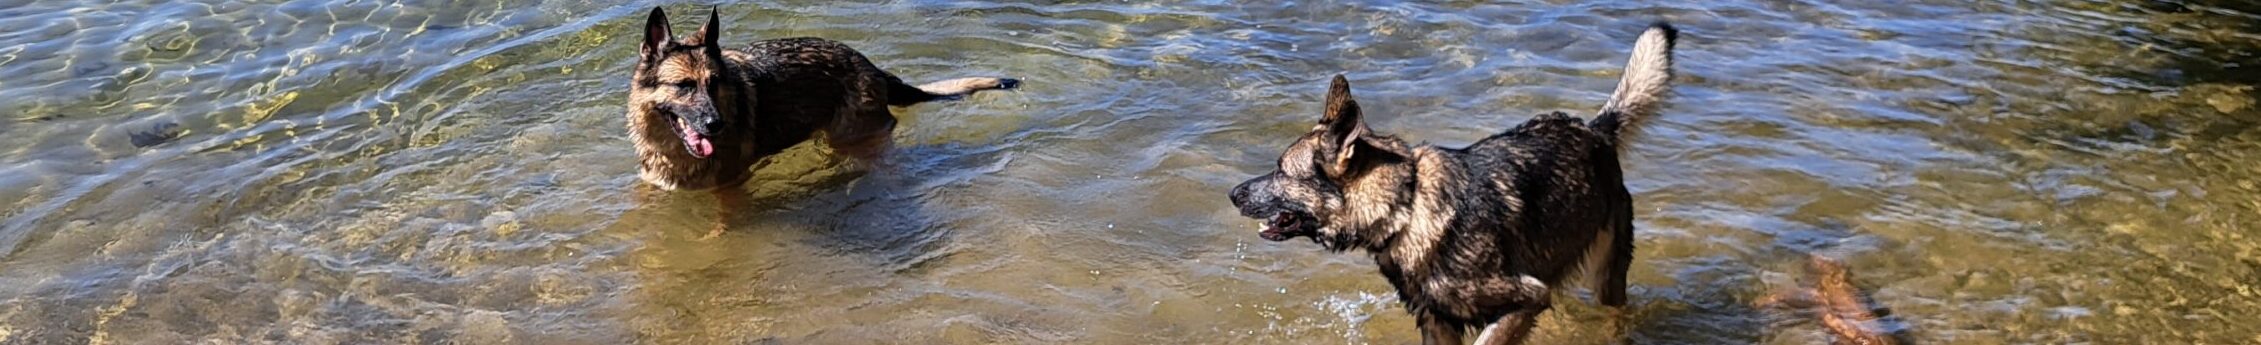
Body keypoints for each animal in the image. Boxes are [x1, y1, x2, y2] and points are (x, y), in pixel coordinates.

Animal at [628, 6, 1017, 191]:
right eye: (684, 86)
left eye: (715, 83)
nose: (716, 124)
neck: (669, 148)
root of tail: (872, 67)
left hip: (848, 138)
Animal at [1220, 24, 1682, 345]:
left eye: (1281, 169)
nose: (1232, 194)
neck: (1406, 208)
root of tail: (1593, 131)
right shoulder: (1439, 322)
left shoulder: (1526, 297)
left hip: (1605, 275)